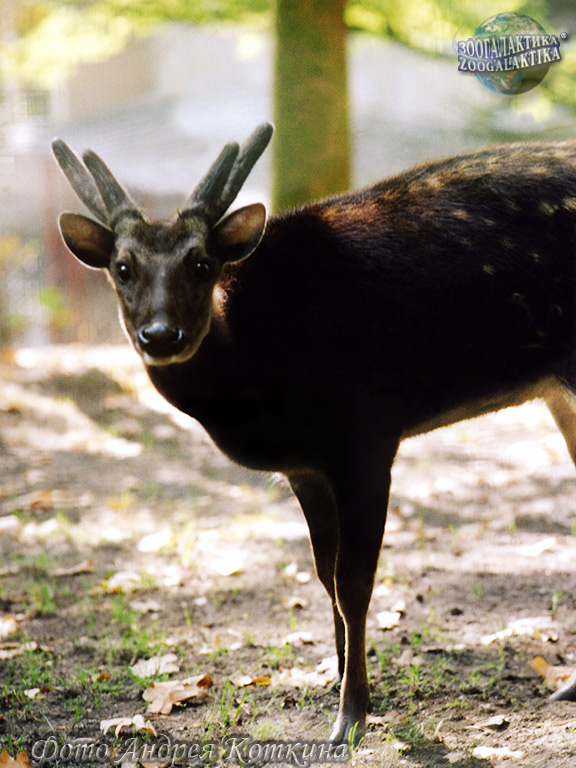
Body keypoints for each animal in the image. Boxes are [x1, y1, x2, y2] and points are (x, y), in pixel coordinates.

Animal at [52, 122, 576, 743]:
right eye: (123, 267)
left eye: (202, 264)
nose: (160, 334)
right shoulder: (304, 467)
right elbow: (324, 575)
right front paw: (339, 679)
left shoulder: (366, 435)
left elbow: (354, 582)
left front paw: (351, 717)